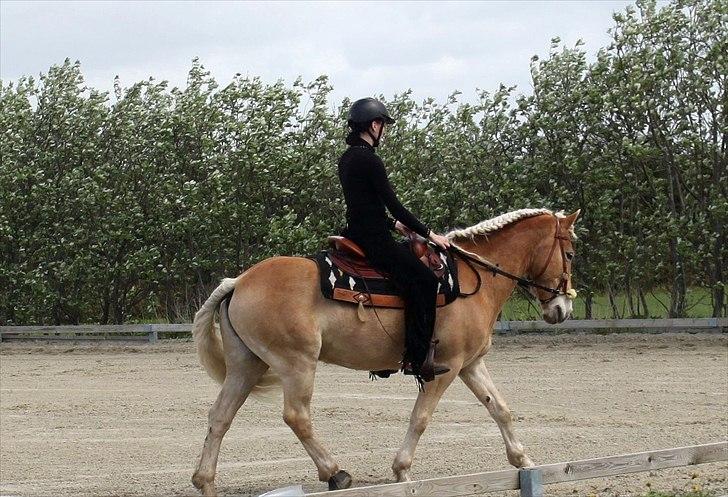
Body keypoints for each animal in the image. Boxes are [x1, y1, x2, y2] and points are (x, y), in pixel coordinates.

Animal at [192, 207, 580, 494]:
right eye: (571, 253)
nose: (562, 309)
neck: (471, 280)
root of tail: (239, 282)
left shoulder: (471, 364)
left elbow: (500, 409)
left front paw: (524, 461)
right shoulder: (446, 366)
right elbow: (420, 417)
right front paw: (402, 470)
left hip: (246, 367)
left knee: (219, 416)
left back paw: (205, 481)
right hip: (297, 365)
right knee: (296, 416)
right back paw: (335, 473)